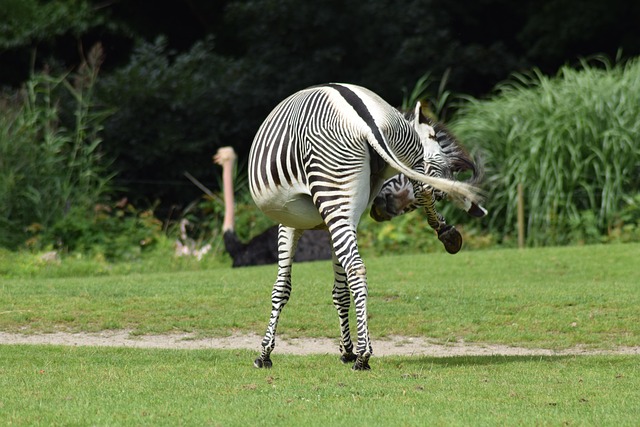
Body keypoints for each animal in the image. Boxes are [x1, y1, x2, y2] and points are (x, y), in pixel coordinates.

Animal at [248, 83, 485, 370]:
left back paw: (363, 356)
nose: (448, 189)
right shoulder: (335, 222)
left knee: (357, 268)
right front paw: (345, 349)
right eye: (434, 138)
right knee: (422, 191)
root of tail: (366, 121)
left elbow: (281, 288)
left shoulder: (289, 223)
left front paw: (265, 353)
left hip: (335, 192)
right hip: (397, 163)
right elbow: (339, 291)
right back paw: (446, 234)